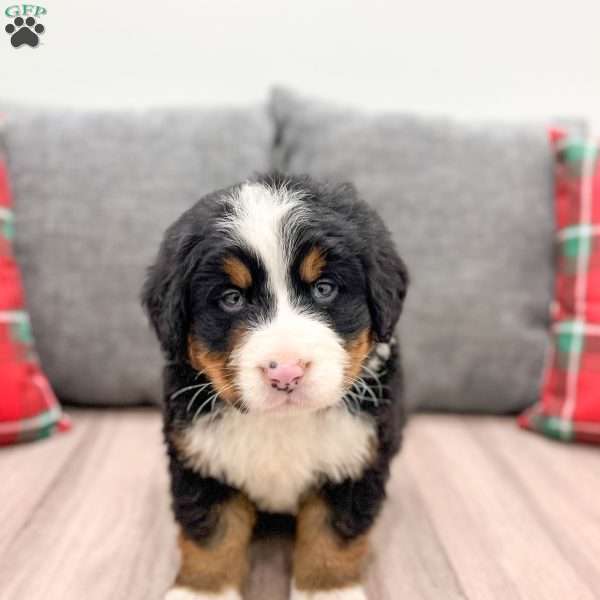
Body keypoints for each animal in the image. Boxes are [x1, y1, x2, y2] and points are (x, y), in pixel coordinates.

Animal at [143, 172, 410, 600]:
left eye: (324, 288)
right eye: (231, 298)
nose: (285, 372)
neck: (282, 424)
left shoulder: (355, 457)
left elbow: (332, 536)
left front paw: (327, 589)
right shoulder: (200, 460)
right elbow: (210, 534)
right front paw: (203, 589)